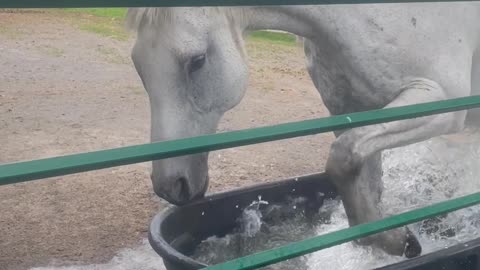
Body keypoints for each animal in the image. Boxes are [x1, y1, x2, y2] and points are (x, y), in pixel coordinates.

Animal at [126, 2, 480, 260]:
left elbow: (341, 158)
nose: (171, 184)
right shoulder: (350, 112)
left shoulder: (441, 105)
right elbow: (363, 181)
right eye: (138, 66)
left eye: (197, 60)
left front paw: (397, 242)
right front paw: (384, 242)